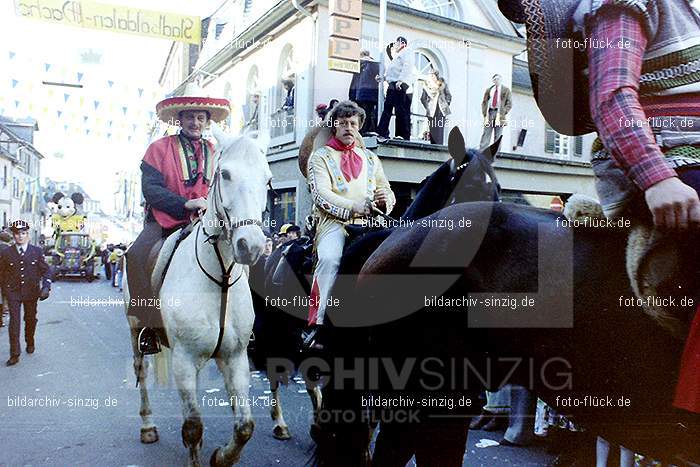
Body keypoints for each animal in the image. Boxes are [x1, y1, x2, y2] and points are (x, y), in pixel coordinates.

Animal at [123, 126, 270, 467]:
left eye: (267, 178)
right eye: (225, 174)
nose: (251, 246)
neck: (221, 280)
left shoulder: (235, 358)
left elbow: (244, 426)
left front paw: (220, 456)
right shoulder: (184, 359)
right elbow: (193, 426)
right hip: (135, 328)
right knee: (141, 371)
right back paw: (147, 426)